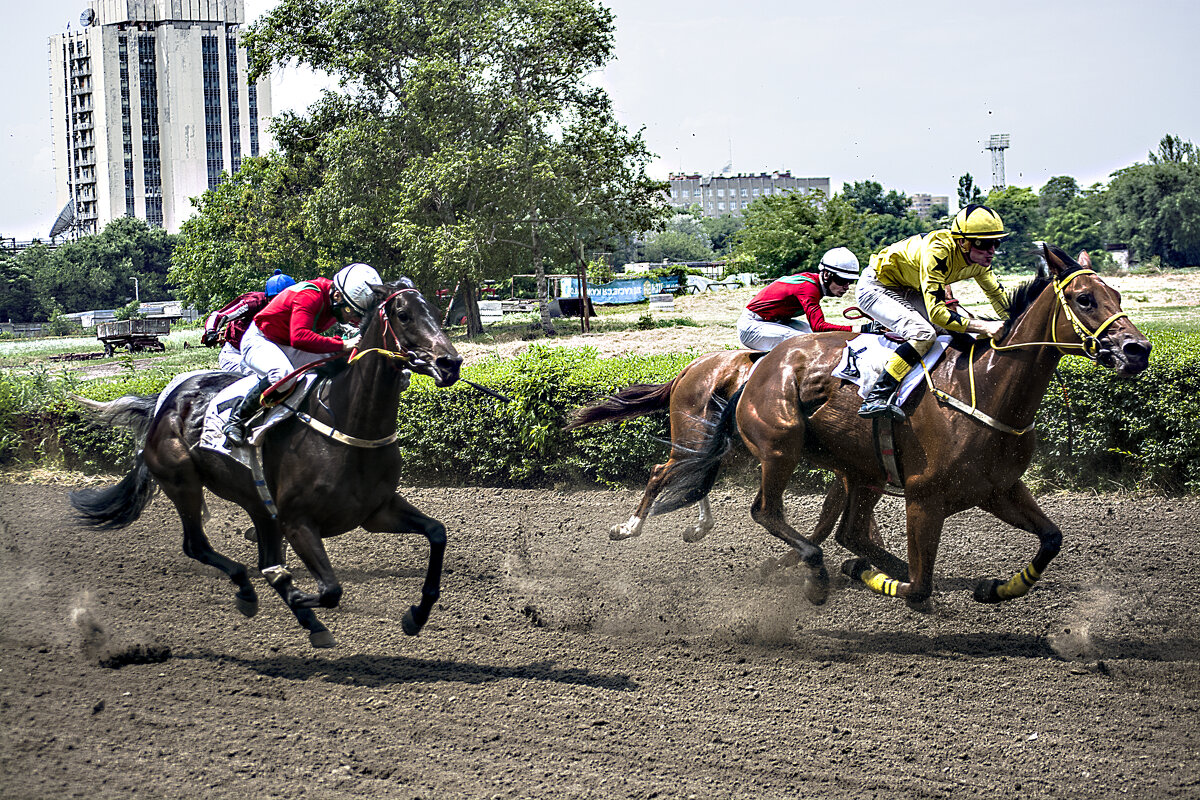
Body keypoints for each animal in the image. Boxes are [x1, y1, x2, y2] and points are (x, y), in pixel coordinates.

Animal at [69, 278, 463, 647]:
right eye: (403, 314)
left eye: (434, 309)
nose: (450, 363)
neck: (348, 425)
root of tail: (163, 404)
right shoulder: (298, 522)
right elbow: (329, 590)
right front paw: (294, 590)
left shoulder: (376, 511)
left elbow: (437, 533)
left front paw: (416, 615)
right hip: (183, 482)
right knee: (198, 546)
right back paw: (249, 591)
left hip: (259, 505)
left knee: (256, 555)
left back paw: (306, 619)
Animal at [662, 244, 1147, 606]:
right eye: (1085, 299)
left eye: (1119, 296)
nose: (1137, 349)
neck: (986, 389)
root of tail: (757, 366)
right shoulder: (923, 499)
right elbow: (919, 588)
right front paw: (869, 575)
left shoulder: (999, 488)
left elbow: (1052, 538)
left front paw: (995, 588)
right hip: (781, 444)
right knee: (768, 511)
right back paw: (817, 573)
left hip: (861, 470)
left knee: (848, 530)